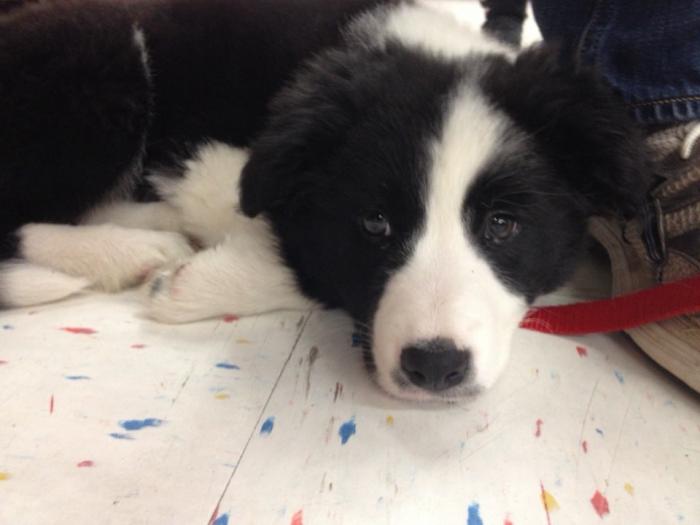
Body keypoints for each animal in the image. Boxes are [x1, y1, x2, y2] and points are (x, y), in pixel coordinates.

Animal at [0, 0, 649, 401]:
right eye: (375, 222)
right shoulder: (231, 157)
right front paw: (191, 279)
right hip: (103, 60)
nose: (435, 366)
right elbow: (301, 250)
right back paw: (134, 251)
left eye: (503, 225)